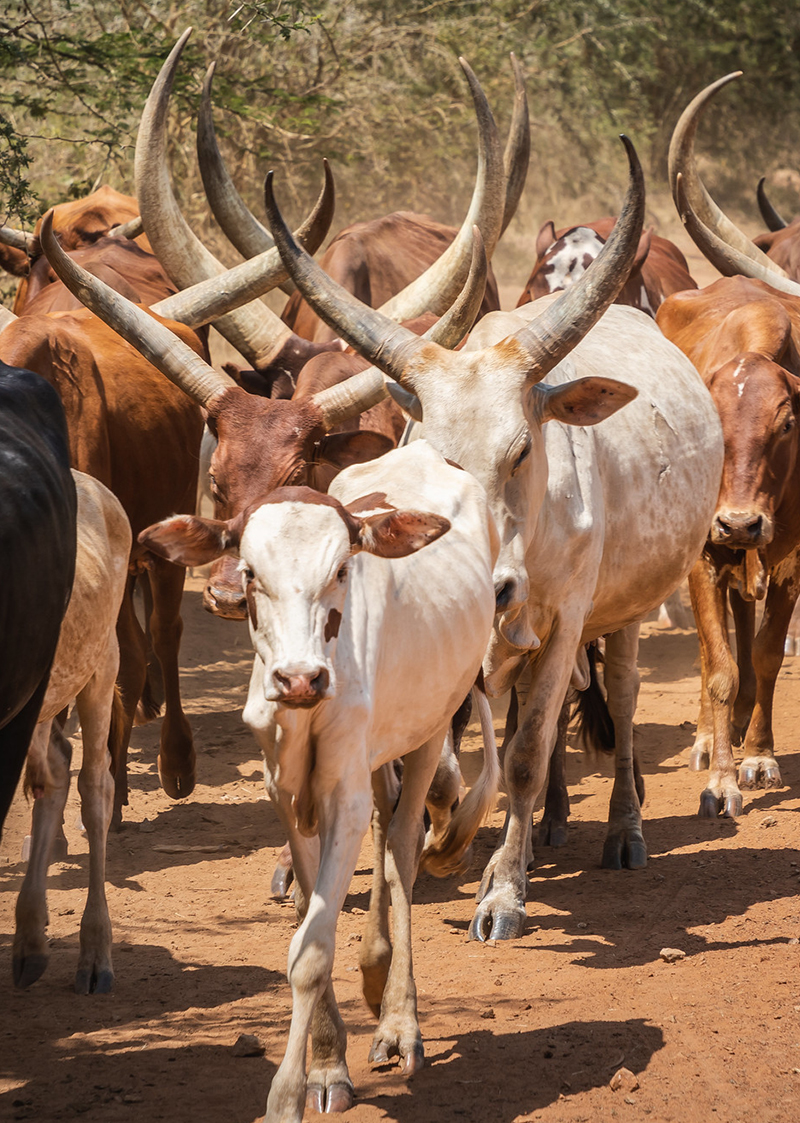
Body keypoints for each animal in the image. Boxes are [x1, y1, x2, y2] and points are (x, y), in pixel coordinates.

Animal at [138, 439, 500, 1121]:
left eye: (340, 571)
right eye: (251, 572)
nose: (300, 678)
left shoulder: (343, 795)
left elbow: (310, 952)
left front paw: (288, 1095)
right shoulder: (286, 793)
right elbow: (311, 915)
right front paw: (328, 1062)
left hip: (430, 728)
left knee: (401, 847)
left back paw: (399, 1021)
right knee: (389, 830)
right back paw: (377, 975)